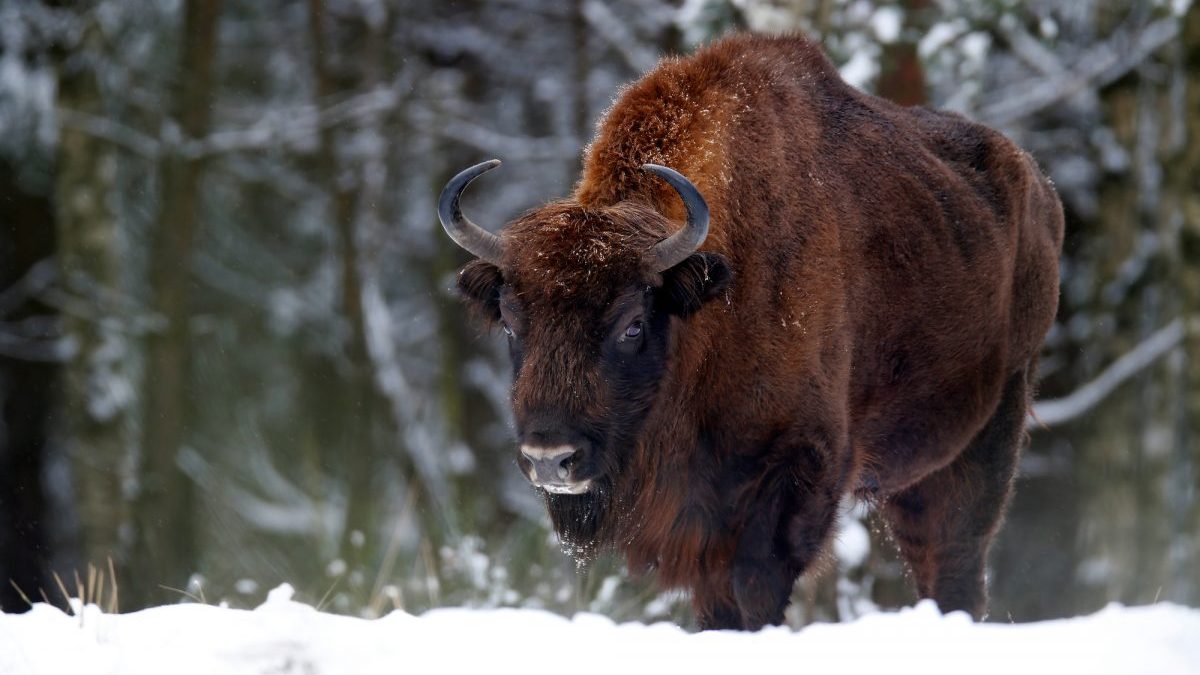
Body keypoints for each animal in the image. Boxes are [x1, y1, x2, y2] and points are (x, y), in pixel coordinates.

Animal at [436, 32, 1065, 629]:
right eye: (512, 322)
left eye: (633, 325)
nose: (551, 459)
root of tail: (1041, 191)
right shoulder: (701, 521)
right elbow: (716, 603)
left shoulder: (795, 474)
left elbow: (756, 587)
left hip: (987, 435)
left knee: (957, 560)